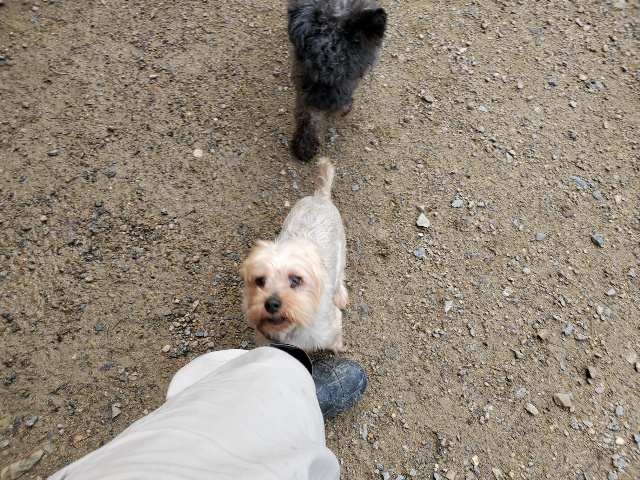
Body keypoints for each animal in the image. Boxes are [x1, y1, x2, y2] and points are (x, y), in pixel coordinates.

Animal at [240, 158, 348, 352]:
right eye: (259, 281)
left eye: (296, 280)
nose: (271, 303)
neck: (291, 328)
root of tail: (320, 197)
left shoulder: (331, 326)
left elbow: (335, 339)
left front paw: (338, 348)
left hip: (341, 246)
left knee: (341, 272)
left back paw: (340, 295)